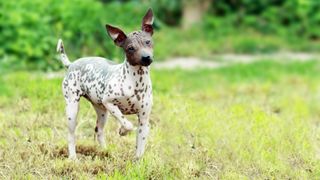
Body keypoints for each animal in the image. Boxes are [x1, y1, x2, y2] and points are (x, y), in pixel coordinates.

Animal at [57, 8, 155, 159]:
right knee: (71, 135)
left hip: (102, 112)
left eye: (148, 42)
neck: (136, 83)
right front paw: (122, 130)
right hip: (72, 109)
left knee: (98, 131)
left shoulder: (144, 121)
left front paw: (137, 162)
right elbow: (127, 124)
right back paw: (73, 158)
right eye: (130, 48)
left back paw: (105, 151)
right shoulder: (109, 103)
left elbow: (140, 149)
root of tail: (71, 64)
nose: (146, 58)